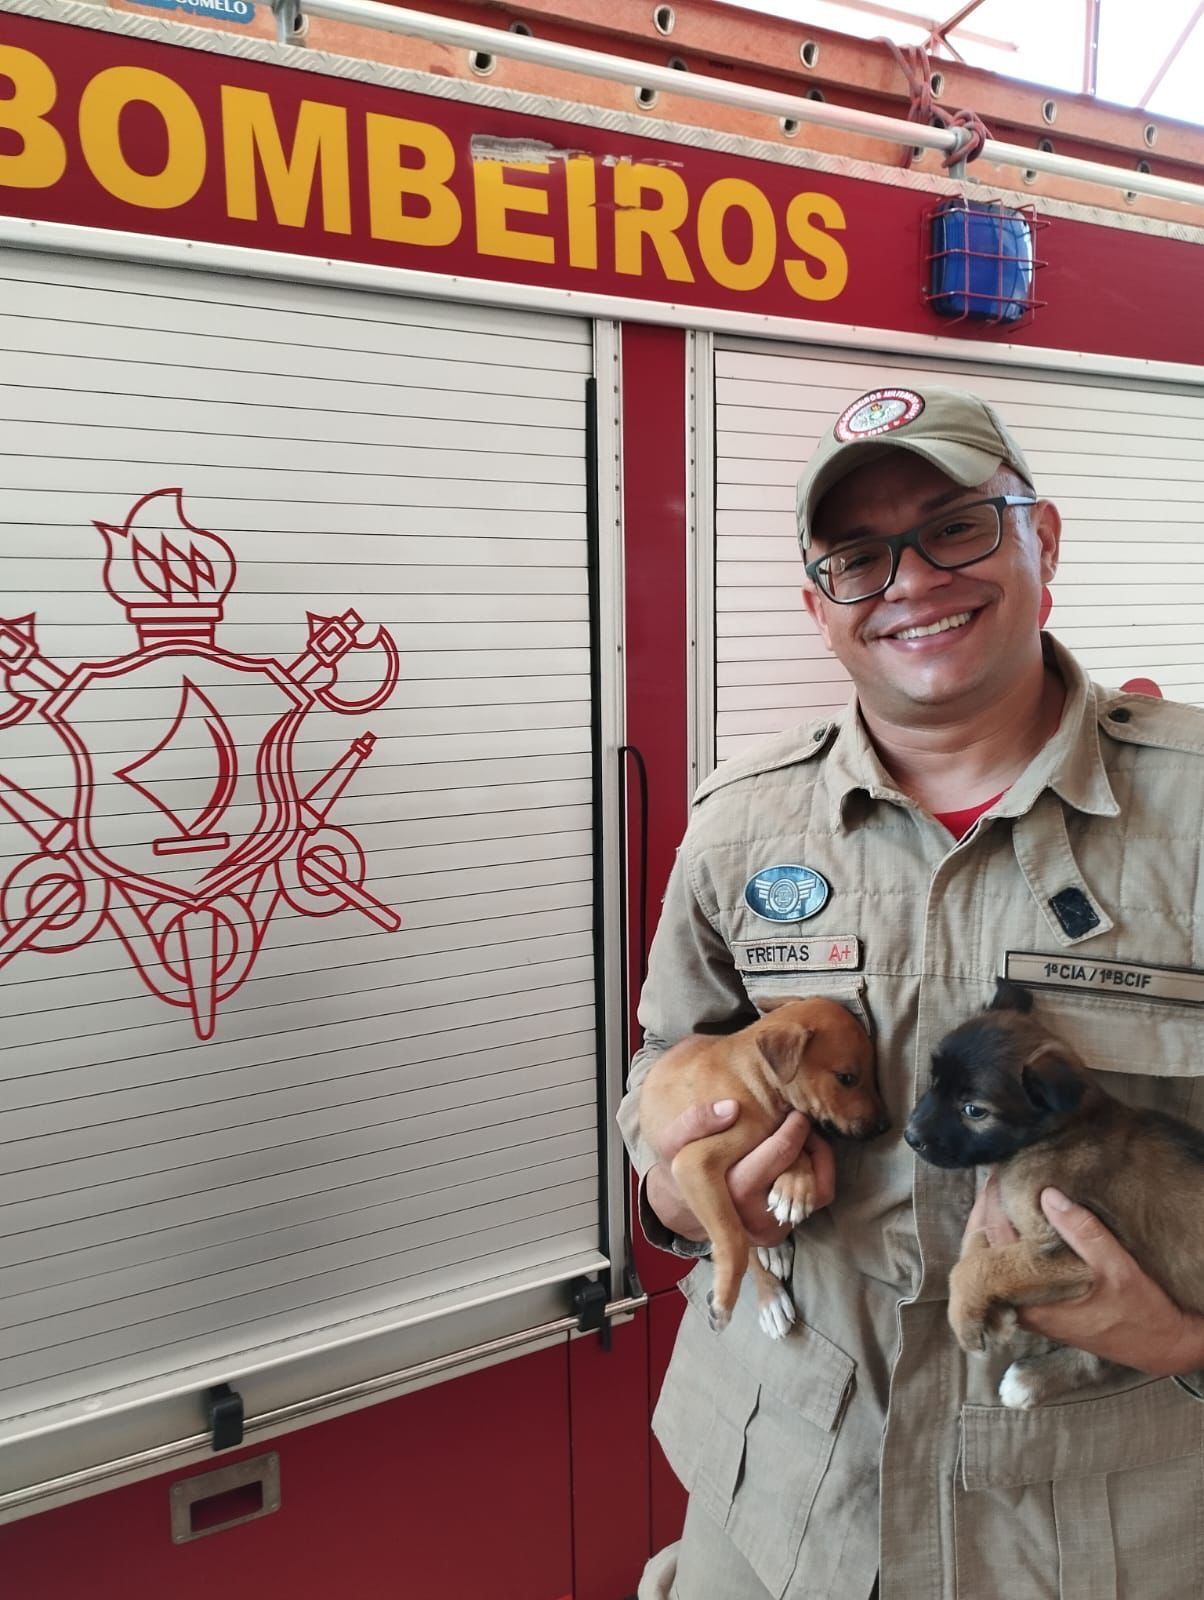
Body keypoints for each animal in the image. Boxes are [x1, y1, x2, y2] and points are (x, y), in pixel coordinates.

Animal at [641, 996, 888, 1340]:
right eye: (847, 1078)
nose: (884, 1127)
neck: (752, 1081)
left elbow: (798, 1150)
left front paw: (793, 1190)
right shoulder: (694, 1163)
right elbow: (733, 1238)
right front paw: (725, 1298)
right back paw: (769, 1293)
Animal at [906, 979, 1204, 1407]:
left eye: (974, 1111)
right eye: (934, 1082)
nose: (909, 1136)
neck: (1060, 1131)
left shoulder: (1077, 1254)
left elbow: (976, 1266)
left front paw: (963, 1316)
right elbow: (978, 1249)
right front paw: (994, 1314)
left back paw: (1030, 1380)